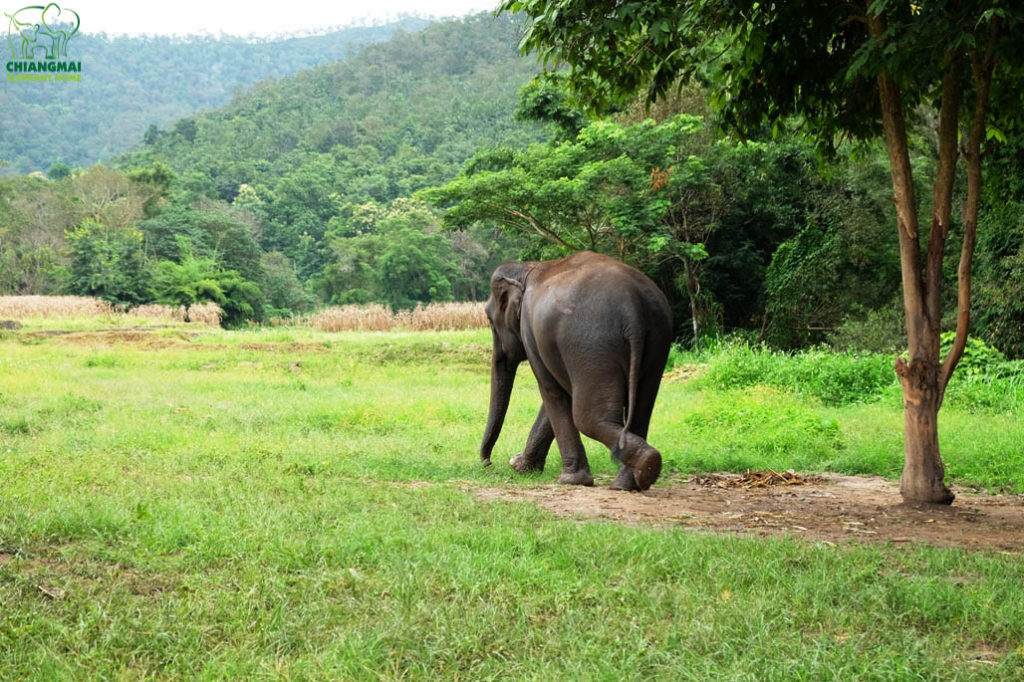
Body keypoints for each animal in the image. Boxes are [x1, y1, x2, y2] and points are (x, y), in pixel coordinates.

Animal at [479, 249, 671, 489]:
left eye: (489, 319)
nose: (487, 462)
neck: (528, 267)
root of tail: (633, 308)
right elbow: (561, 393)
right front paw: (522, 466)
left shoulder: (531, 334)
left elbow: (551, 390)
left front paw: (568, 480)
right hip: (657, 341)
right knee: (641, 409)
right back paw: (630, 480)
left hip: (591, 344)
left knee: (588, 418)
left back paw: (644, 465)